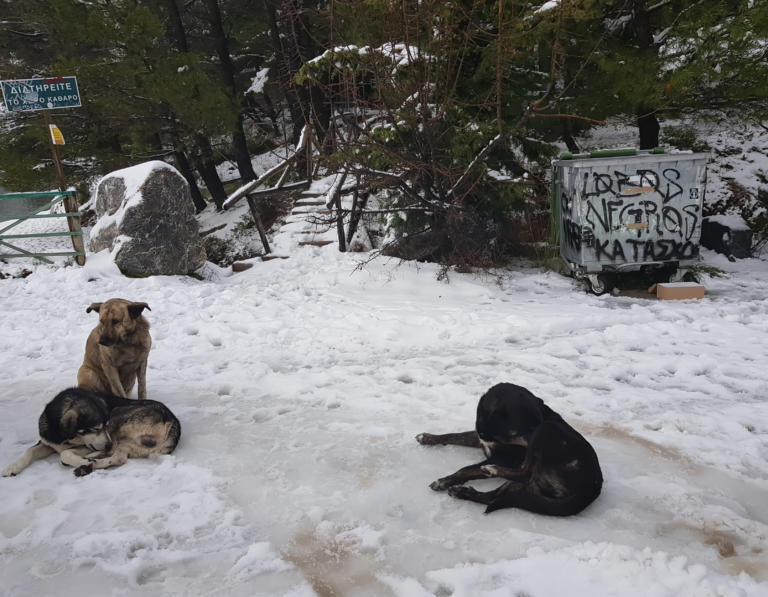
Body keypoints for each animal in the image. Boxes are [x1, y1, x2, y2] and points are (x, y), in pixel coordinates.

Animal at [416, 384, 604, 516]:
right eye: (529, 427)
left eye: (534, 425)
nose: (538, 427)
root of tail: (592, 489)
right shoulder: (482, 439)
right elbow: (453, 435)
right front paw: (427, 437)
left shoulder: (502, 457)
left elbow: (467, 469)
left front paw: (444, 481)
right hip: (526, 486)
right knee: (496, 496)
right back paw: (462, 492)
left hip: (547, 431)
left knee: (524, 473)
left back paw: (490, 471)